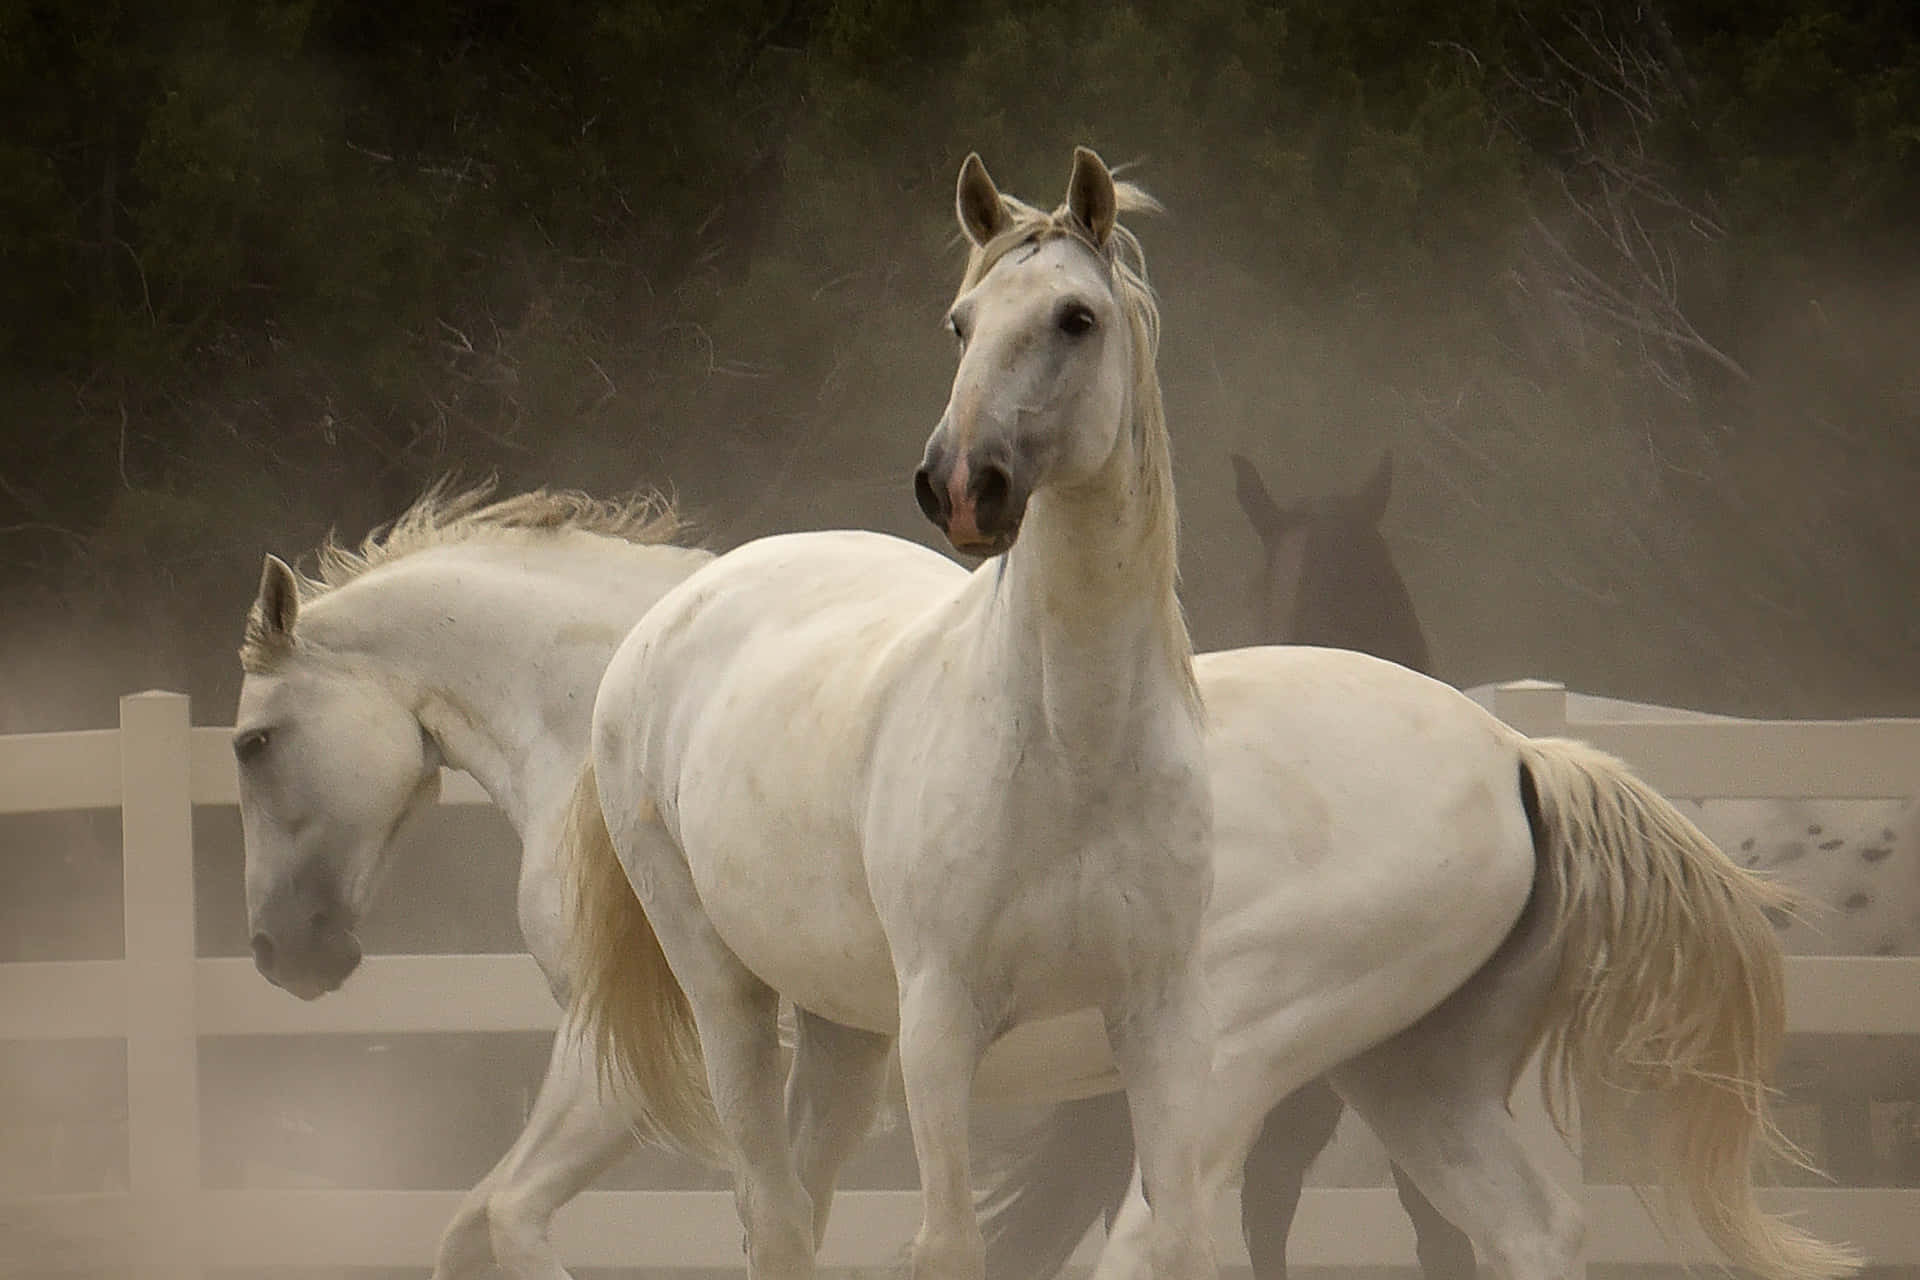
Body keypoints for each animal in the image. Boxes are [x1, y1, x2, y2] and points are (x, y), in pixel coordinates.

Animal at [564, 149, 1855, 1280]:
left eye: (1075, 318)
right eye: (960, 321)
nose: (961, 485)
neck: (1064, 745)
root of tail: (1524, 758)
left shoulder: (1164, 1025)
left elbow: (1181, 1240)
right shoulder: (942, 1023)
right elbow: (956, 1246)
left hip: (1377, 1068)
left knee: (1524, 1228)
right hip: (741, 995)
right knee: (778, 1212)